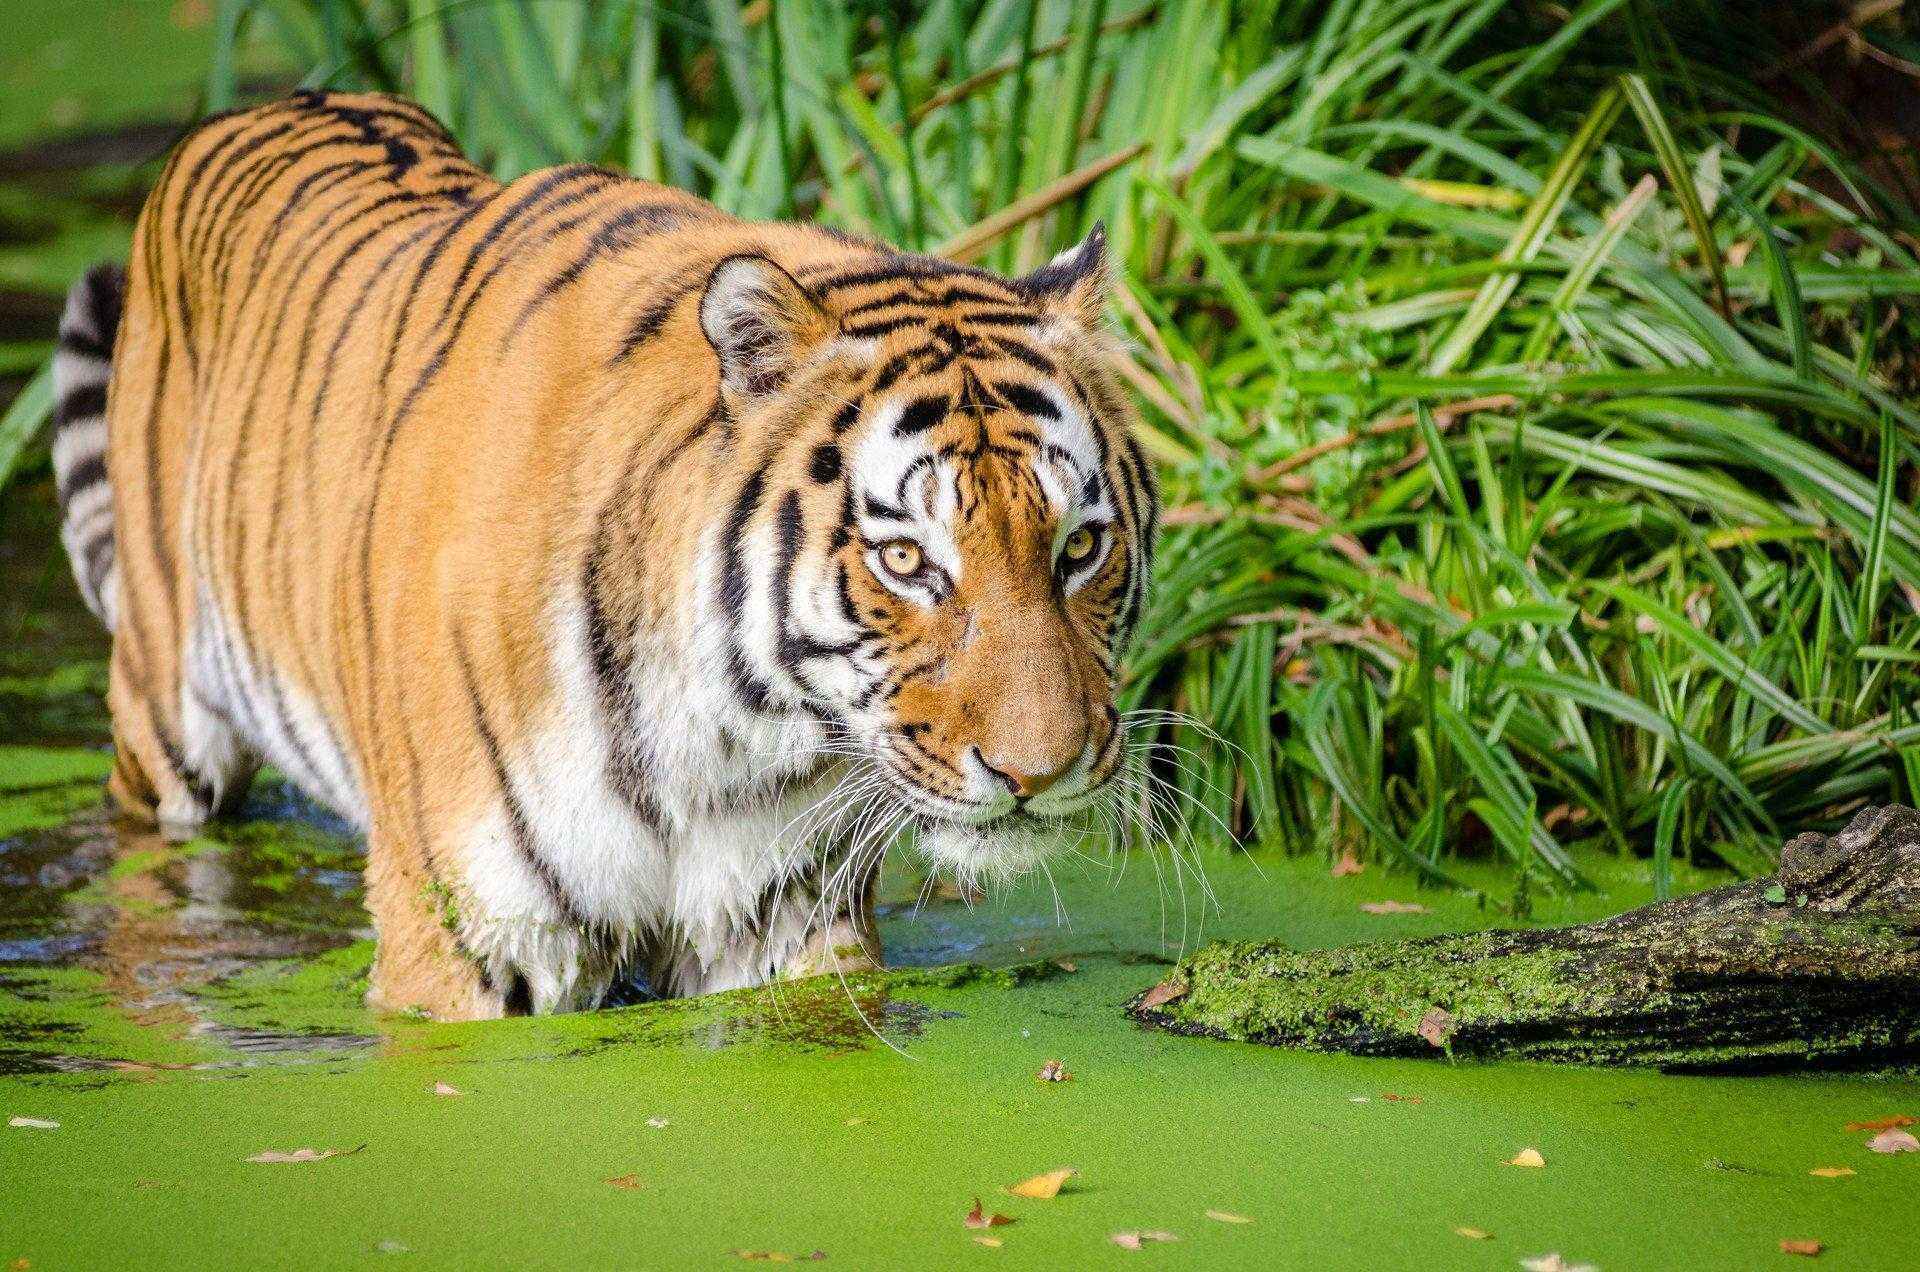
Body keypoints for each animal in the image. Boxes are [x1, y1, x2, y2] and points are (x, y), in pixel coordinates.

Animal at [48, 90, 1157, 1021]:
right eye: (905, 561)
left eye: (1081, 546)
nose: (1039, 774)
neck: (731, 740)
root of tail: (261, 105)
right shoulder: (462, 939)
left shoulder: (781, 924)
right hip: (164, 731)